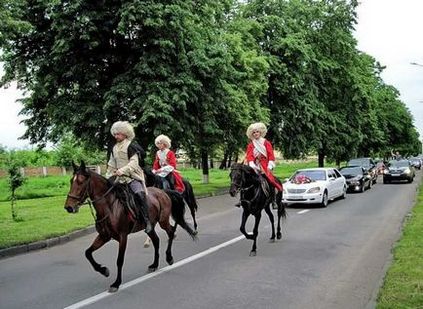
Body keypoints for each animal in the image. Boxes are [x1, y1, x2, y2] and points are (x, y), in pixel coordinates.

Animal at [64, 160, 197, 292]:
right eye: (71, 181)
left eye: (81, 182)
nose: (68, 207)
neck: (110, 207)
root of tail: (163, 192)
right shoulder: (104, 236)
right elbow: (88, 253)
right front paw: (104, 270)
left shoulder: (123, 237)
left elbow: (119, 260)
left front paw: (116, 283)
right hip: (150, 227)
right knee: (156, 240)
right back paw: (154, 264)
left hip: (163, 221)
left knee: (171, 232)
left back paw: (169, 258)